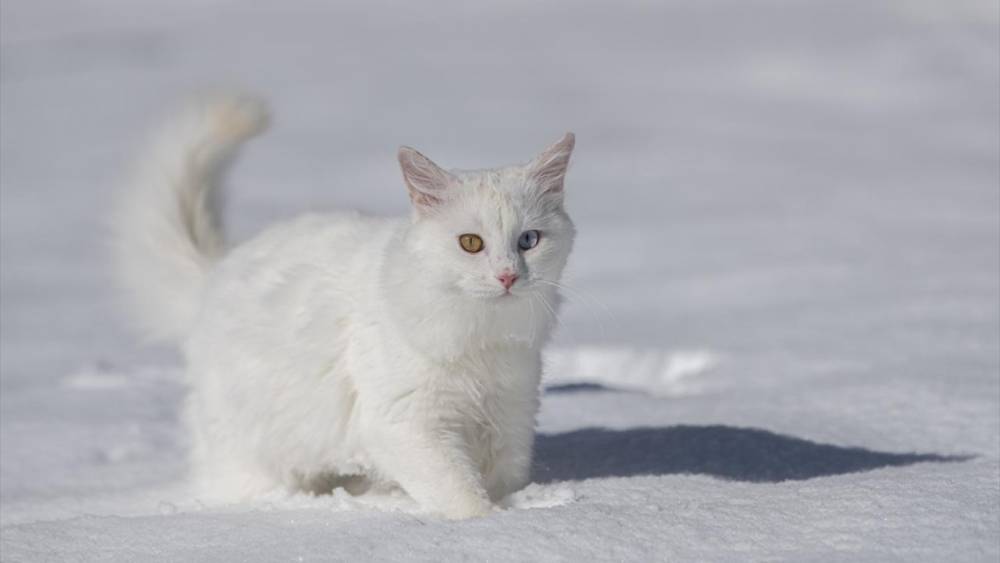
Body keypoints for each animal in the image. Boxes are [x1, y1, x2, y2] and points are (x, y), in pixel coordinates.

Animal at [113, 96, 576, 520]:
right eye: (471, 243)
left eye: (529, 241)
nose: (507, 276)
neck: (483, 336)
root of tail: (217, 271)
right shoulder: (408, 422)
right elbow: (460, 492)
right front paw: (489, 522)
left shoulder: (511, 415)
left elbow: (501, 480)